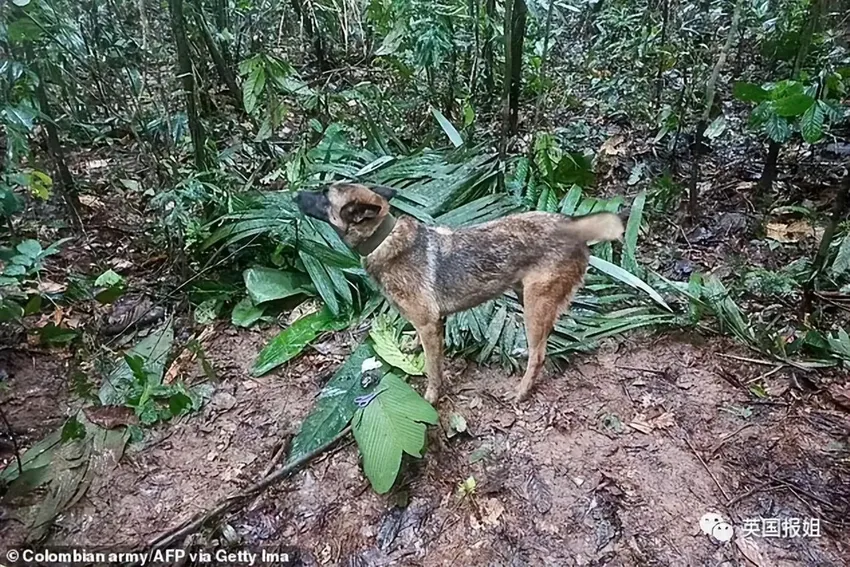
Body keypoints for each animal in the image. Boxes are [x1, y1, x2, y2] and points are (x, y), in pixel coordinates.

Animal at [294, 183, 624, 404]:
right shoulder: (430, 323)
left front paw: (431, 397)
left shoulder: (429, 324)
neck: (383, 239)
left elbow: (432, 369)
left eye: (324, 195)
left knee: (539, 354)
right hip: (526, 296)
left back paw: (521, 391)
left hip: (534, 303)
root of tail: (574, 227)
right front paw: (412, 347)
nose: (294, 194)